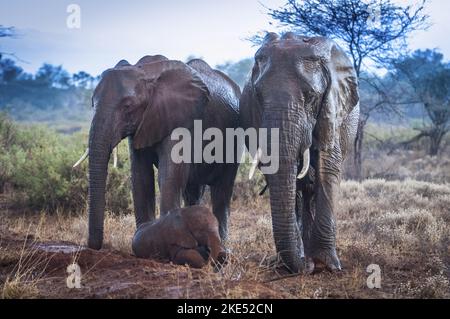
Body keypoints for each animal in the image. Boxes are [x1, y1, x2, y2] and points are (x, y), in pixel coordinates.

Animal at [75, 56, 241, 251]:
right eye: (92, 103)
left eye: (128, 106)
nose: (96, 246)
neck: (146, 73)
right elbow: (141, 176)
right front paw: (147, 235)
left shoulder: (178, 117)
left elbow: (169, 174)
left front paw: (165, 240)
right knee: (193, 190)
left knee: (222, 191)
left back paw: (223, 246)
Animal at [241, 33, 360, 276]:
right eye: (257, 95)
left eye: (312, 96)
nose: (303, 267)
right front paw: (306, 261)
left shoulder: (332, 106)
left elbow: (328, 164)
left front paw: (327, 265)